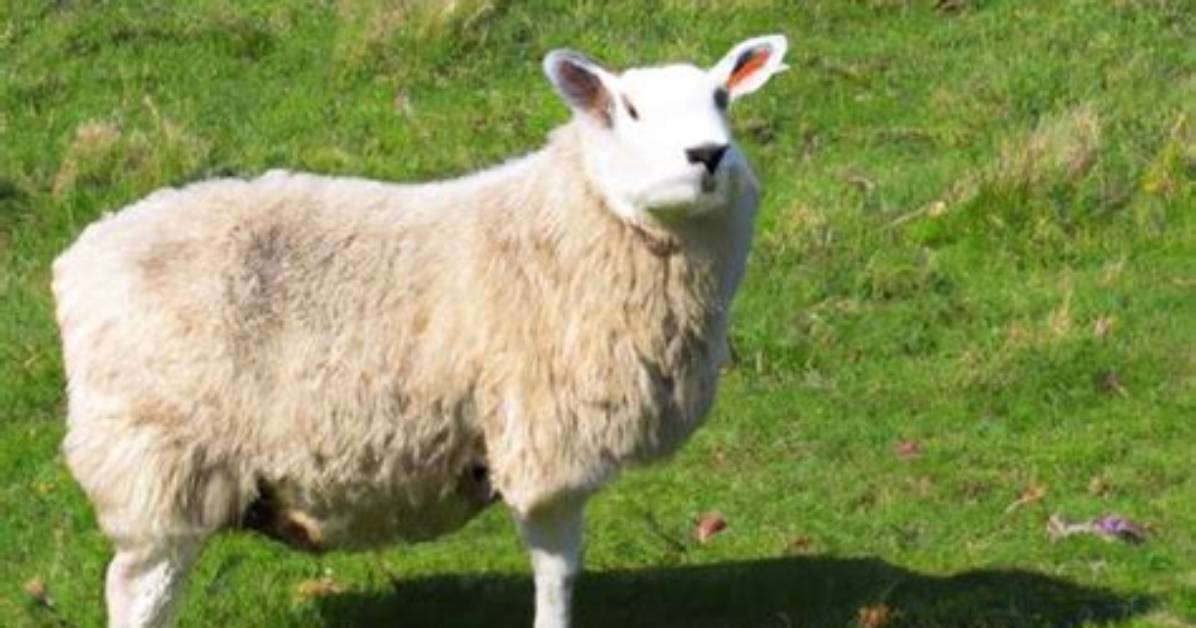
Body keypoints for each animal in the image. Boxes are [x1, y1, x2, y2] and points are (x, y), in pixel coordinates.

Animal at [51, 35, 789, 628]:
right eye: (630, 110)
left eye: (722, 97)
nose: (709, 154)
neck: (565, 225)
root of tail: (79, 262)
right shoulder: (544, 438)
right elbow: (557, 571)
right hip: (156, 457)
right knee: (139, 592)